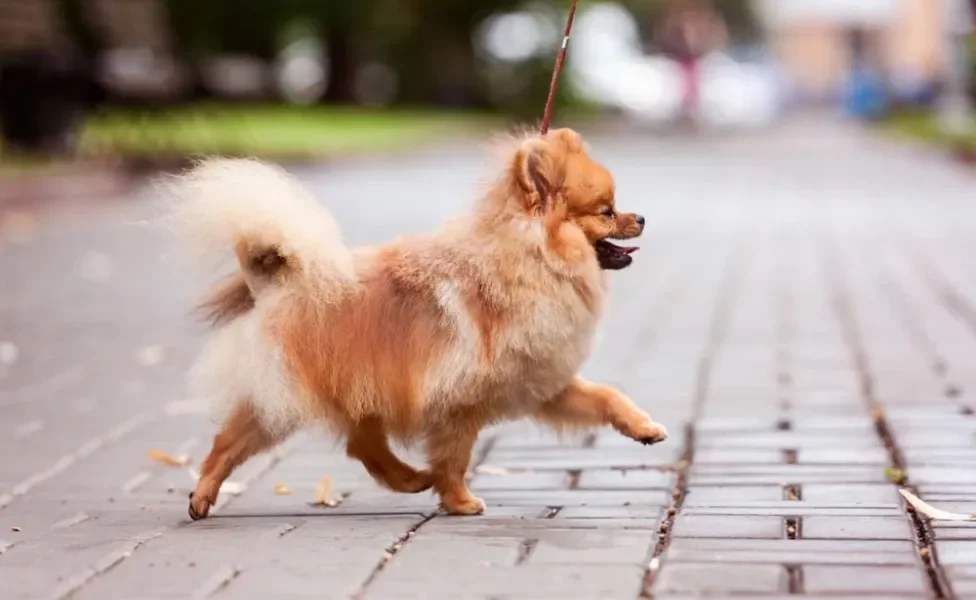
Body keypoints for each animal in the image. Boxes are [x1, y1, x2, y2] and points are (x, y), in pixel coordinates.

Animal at [172, 127, 668, 520]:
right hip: (291, 392)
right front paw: (460, 502)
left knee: (362, 445)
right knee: (232, 440)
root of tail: (279, 281)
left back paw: (409, 478)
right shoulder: (461, 402)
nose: (642, 217)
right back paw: (202, 493)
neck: (528, 264)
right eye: (606, 211)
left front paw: (643, 428)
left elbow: (606, 396)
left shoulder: (541, 379)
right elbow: (455, 457)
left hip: (359, 387)